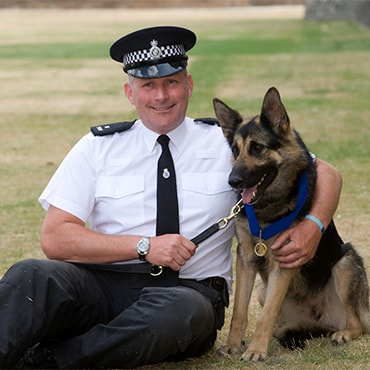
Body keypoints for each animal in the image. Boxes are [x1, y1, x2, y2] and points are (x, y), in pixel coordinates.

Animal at [214, 87, 370, 362]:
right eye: (235, 149)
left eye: (257, 148)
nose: (233, 181)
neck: (267, 211)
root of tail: (322, 317)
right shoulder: (246, 258)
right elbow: (240, 312)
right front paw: (233, 345)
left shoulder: (283, 262)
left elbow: (265, 317)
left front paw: (256, 350)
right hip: (262, 289)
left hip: (345, 263)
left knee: (358, 324)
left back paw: (344, 334)